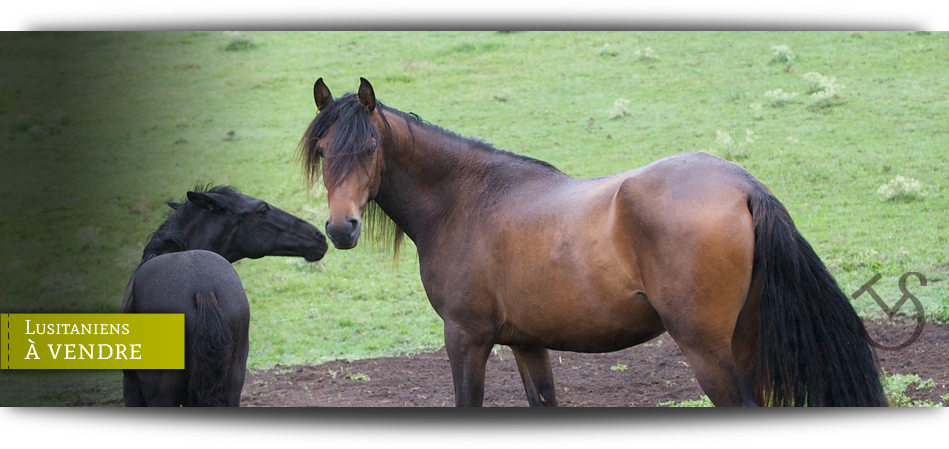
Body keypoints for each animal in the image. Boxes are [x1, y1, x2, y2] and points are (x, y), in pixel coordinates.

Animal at [300, 78, 884, 406]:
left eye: (371, 147)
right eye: (323, 149)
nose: (341, 228)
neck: (466, 199)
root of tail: (744, 186)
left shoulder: (465, 339)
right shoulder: (527, 343)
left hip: (707, 350)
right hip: (744, 341)